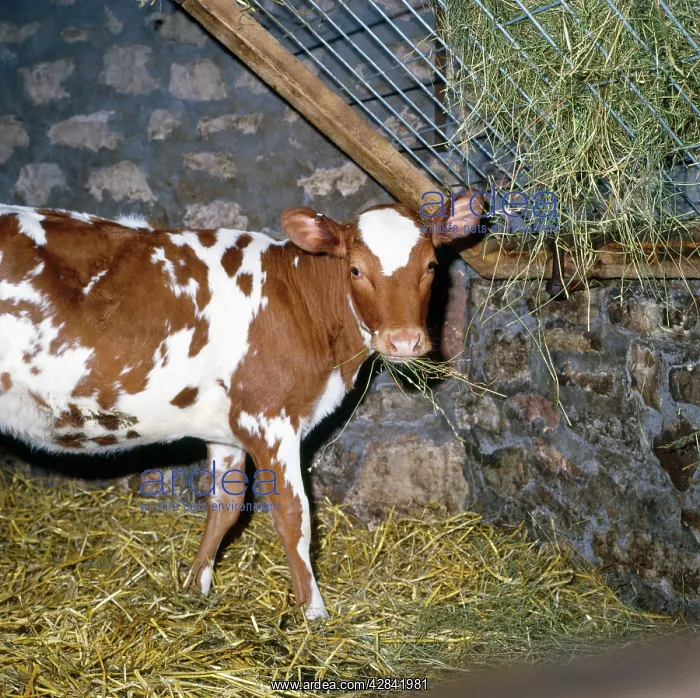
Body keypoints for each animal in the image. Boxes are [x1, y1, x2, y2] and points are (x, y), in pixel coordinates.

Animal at [0, 193, 483, 620]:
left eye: (431, 265)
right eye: (356, 269)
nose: (403, 340)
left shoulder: (227, 430)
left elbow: (225, 507)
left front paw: (196, 587)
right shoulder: (269, 418)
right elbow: (294, 517)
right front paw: (314, 612)